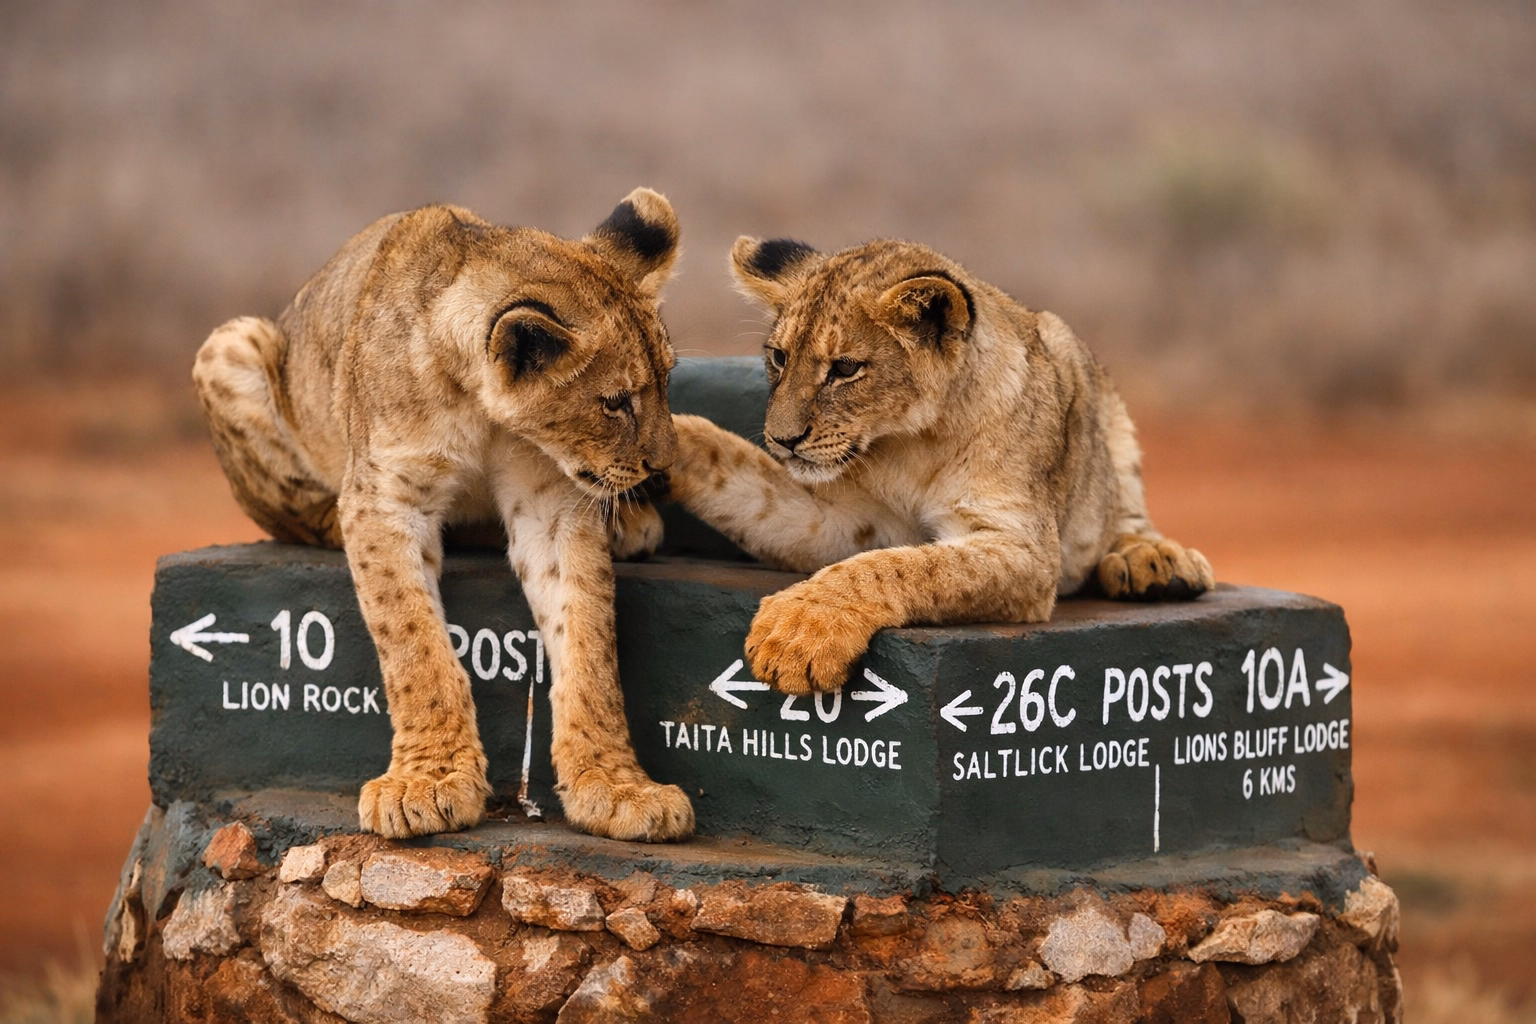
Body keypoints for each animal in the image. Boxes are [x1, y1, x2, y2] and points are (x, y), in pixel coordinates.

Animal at [192, 189, 693, 841]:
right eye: (614, 403)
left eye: (666, 380)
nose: (666, 463)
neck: (481, 409)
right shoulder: (385, 497)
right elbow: (414, 642)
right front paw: (426, 783)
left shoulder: (552, 506)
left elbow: (589, 646)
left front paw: (615, 786)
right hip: (232, 343)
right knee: (295, 513)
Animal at [664, 236, 1214, 695]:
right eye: (779, 357)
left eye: (844, 368)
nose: (782, 440)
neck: (908, 444)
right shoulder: (846, 522)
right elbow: (739, 473)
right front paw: (662, 445)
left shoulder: (1026, 550)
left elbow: (899, 566)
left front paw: (800, 633)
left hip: (1103, 410)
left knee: (1127, 514)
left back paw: (1157, 563)